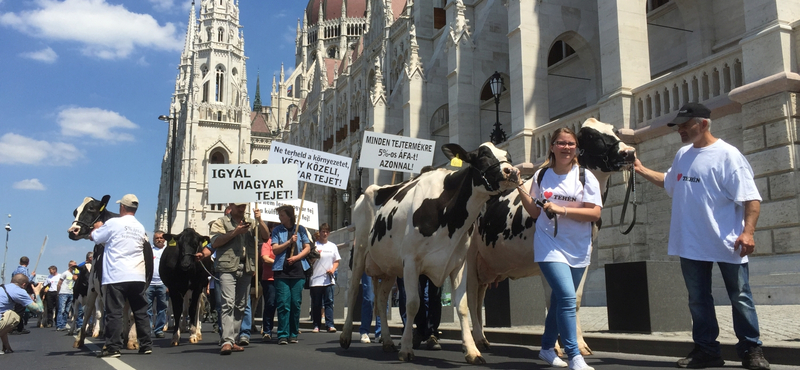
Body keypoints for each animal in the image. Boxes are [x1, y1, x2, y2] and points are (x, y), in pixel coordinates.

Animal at [338, 142, 520, 364]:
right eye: (483, 156)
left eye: (508, 157)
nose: (512, 172)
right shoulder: (411, 262)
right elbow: (413, 304)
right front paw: (406, 349)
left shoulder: (459, 263)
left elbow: (462, 306)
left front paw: (472, 351)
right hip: (360, 251)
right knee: (354, 291)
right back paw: (346, 337)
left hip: (389, 267)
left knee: (381, 300)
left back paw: (388, 341)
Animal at [466, 118, 636, 356]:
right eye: (592, 137)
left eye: (615, 131)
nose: (629, 152)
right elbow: (551, 299)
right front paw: (555, 346)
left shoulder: (584, 255)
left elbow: (574, 298)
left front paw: (579, 344)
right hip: (468, 259)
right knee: (471, 297)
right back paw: (479, 341)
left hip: (486, 264)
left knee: (479, 296)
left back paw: (482, 338)